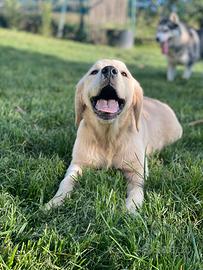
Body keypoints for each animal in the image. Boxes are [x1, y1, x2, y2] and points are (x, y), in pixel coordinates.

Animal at [45, 59, 182, 213]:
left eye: (124, 73)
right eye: (94, 72)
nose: (109, 70)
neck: (108, 137)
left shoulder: (137, 170)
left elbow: (137, 190)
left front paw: (131, 208)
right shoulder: (77, 163)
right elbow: (66, 181)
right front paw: (55, 201)